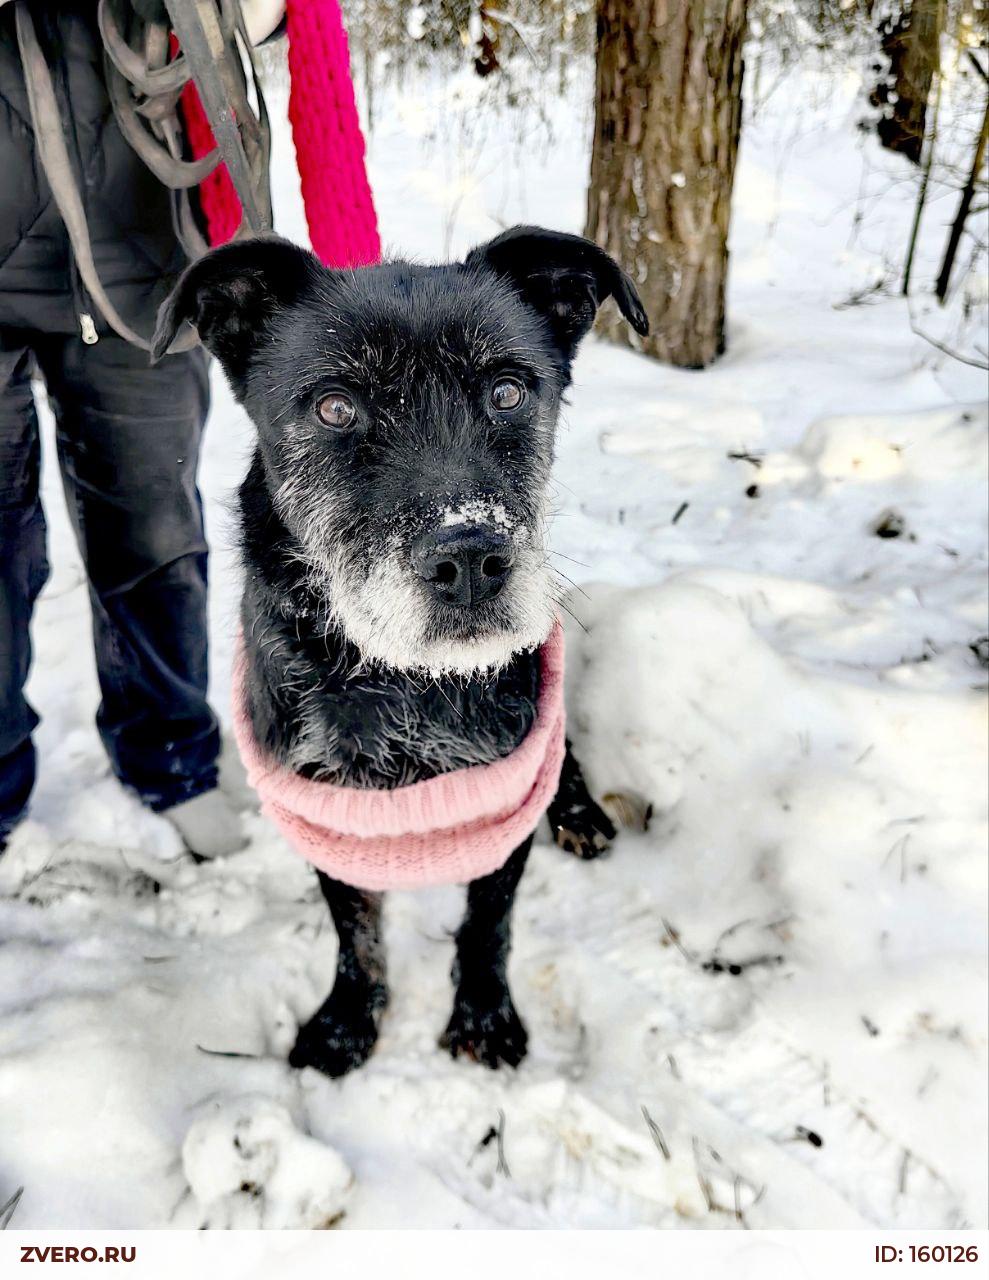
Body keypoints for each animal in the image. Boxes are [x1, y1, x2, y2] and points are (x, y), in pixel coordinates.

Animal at [153, 226, 648, 1077]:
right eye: (335, 406)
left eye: (508, 391)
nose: (471, 558)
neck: (406, 684)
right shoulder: (325, 811)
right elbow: (354, 932)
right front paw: (347, 1022)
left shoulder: (504, 799)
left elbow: (487, 923)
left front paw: (483, 1016)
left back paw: (580, 810)